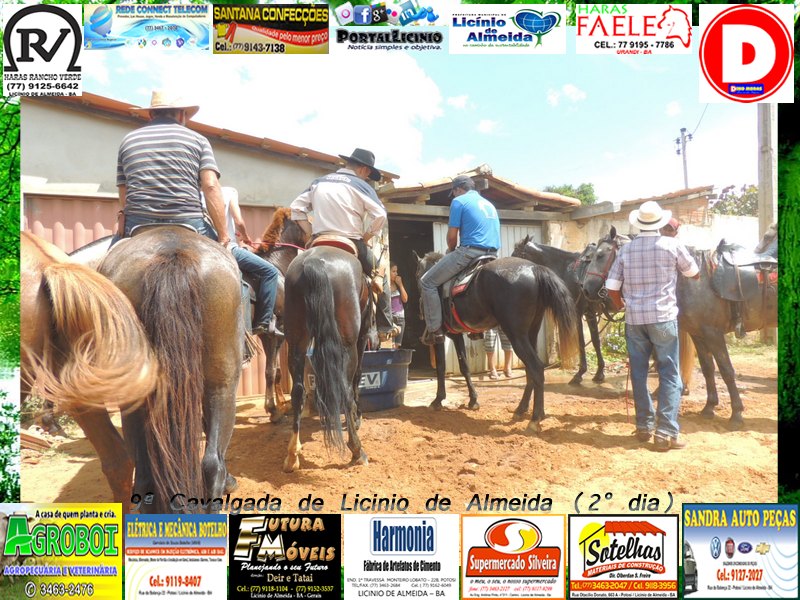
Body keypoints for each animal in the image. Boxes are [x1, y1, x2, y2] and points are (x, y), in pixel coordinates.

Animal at [415, 252, 579, 434]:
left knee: (536, 367)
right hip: (531, 332)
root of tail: (535, 269)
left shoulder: (442, 336)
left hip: (516, 335)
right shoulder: (457, 335)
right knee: (531, 370)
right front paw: (473, 400)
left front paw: (437, 400)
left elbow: (441, 368)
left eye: (416, 275)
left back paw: (535, 419)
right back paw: (523, 410)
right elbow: (464, 367)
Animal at [512, 235, 615, 385]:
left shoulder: (577, 313)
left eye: (517, 253)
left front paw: (580, 373)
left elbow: (581, 341)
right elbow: (595, 341)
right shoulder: (589, 313)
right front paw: (600, 372)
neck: (567, 269)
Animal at [581, 227, 777, 429]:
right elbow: (707, 368)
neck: (698, 280)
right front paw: (709, 407)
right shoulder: (699, 334)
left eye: (600, 255)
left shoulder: (714, 334)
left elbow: (726, 370)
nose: (585, 289)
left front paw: (737, 414)